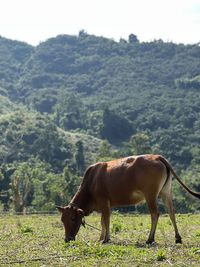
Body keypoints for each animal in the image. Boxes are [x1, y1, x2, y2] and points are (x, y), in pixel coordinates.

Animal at [56, 155, 200, 245]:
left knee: (155, 214)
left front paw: (105, 239)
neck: (91, 181)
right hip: (166, 192)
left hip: (150, 195)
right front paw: (101, 238)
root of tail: (157, 157)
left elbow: (106, 221)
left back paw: (150, 239)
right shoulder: (104, 206)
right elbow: (103, 222)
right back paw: (177, 238)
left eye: (73, 218)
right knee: (171, 212)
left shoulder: (104, 202)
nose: (67, 239)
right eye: (62, 220)